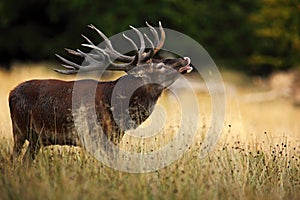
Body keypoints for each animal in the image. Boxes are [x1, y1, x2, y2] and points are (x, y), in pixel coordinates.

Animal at [9, 21, 193, 162]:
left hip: (36, 139)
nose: (185, 59)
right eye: (160, 65)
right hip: (19, 130)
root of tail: (11, 92)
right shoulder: (93, 136)